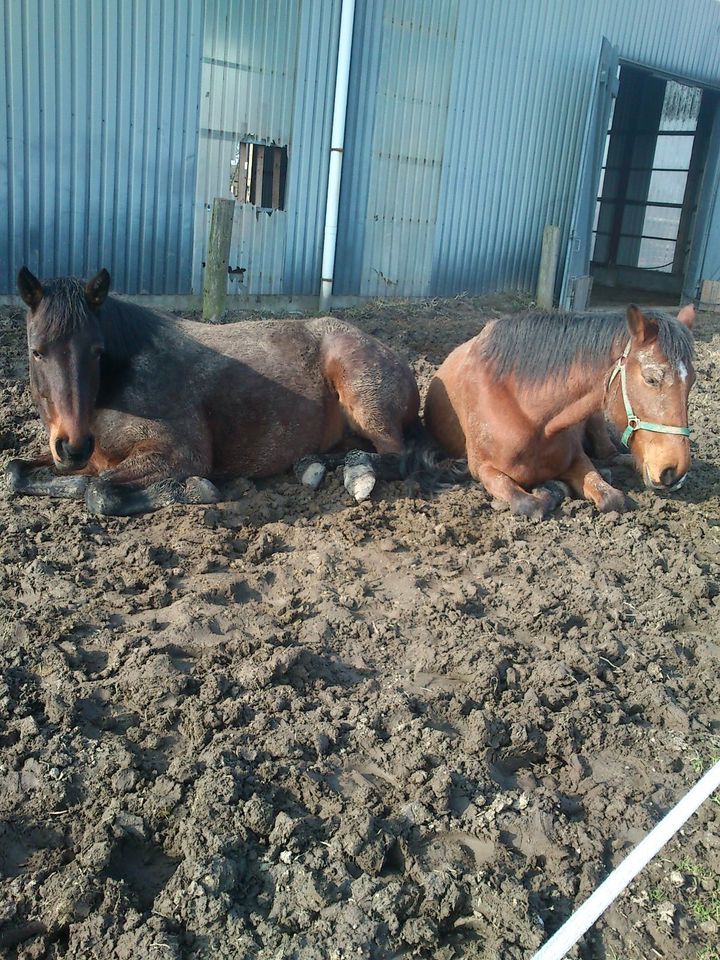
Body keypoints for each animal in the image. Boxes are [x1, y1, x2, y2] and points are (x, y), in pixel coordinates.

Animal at [5, 266, 420, 520]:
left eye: (96, 351)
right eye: (36, 350)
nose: (74, 447)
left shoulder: (179, 453)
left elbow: (97, 490)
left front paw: (194, 490)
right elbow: (16, 471)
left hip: (365, 402)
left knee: (394, 458)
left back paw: (356, 471)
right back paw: (313, 465)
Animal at [424, 306, 696, 516]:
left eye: (692, 381)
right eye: (651, 379)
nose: (674, 471)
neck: (532, 418)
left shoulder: (577, 458)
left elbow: (612, 498)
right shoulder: (483, 469)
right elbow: (529, 504)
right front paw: (551, 489)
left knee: (610, 454)